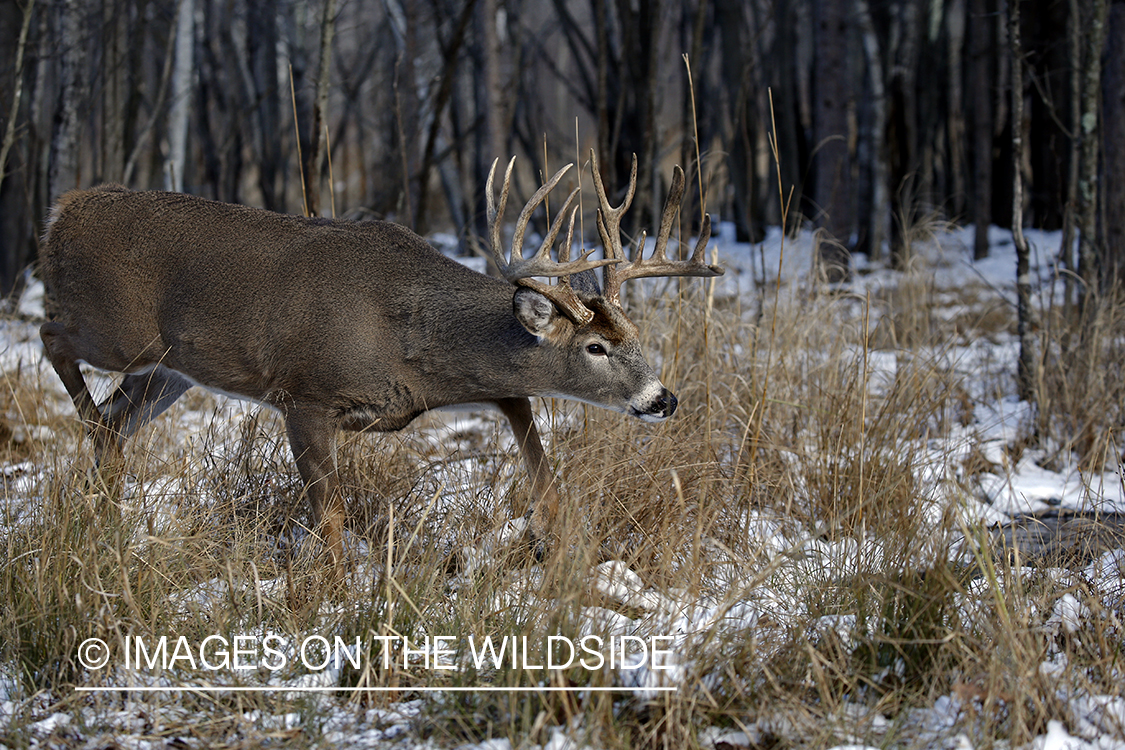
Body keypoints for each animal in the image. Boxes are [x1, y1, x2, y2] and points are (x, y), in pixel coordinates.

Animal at [39, 150, 724, 562]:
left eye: (635, 333)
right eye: (595, 346)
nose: (662, 399)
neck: (409, 341)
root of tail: (64, 208)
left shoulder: (461, 393)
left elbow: (538, 455)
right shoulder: (304, 394)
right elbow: (333, 521)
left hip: (172, 371)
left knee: (116, 418)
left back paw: (102, 504)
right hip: (119, 331)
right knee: (54, 339)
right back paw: (88, 444)